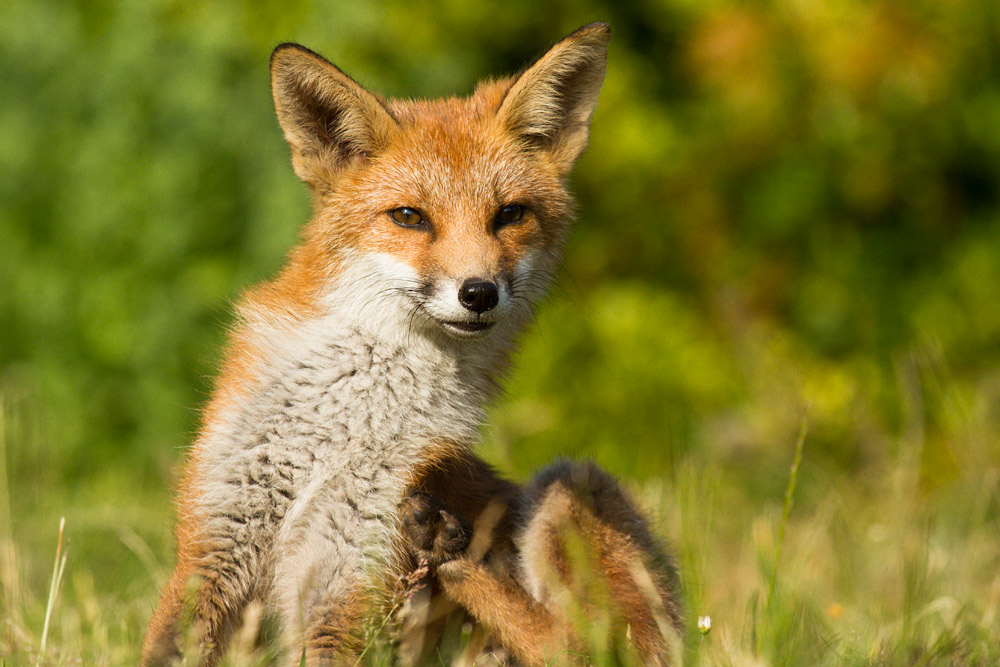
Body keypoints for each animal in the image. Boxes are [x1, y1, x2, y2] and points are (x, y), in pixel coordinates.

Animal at [142, 21, 681, 665]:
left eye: (510, 215)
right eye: (409, 217)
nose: (479, 293)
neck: (343, 423)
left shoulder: (348, 573)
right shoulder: (216, 541)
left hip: (569, 484)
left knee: (577, 646)